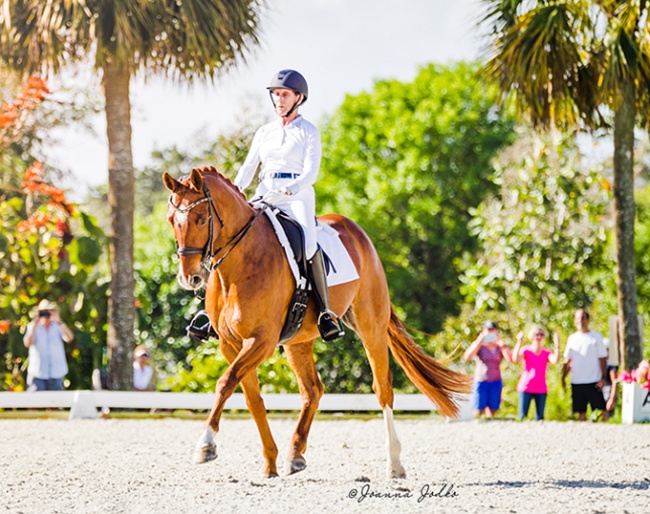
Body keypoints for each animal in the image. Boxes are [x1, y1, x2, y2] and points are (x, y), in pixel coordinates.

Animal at [161, 167, 466, 476]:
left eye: (201, 218)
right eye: (172, 220)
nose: (190, 278)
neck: (239, 264)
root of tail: (354, 229)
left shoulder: (261, 340)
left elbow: (225, 383)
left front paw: (205, 444)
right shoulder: (229, 343)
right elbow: (251, 397)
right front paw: (269, 462)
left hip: (371, 327)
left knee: (383, 389)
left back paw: (394, 463)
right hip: (298, 340)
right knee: (313, 390)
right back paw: (295, 454)